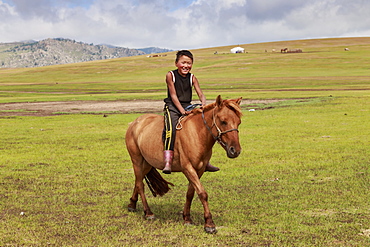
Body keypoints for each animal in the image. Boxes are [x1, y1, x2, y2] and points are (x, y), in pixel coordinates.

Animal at [125, 95, 243, 233]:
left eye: (238, 122)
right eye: (223, 121)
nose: (235, 150)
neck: (198, 133)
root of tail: (135, 123)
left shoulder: (199, 169)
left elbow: (190, 193)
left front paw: (187, 218)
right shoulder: (188, 168)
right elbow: (202, 193)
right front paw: (209, 223)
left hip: (147, 162)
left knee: (138, 181)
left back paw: (132, 204)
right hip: (137, 160)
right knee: (140, 185)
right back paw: (148, 212)